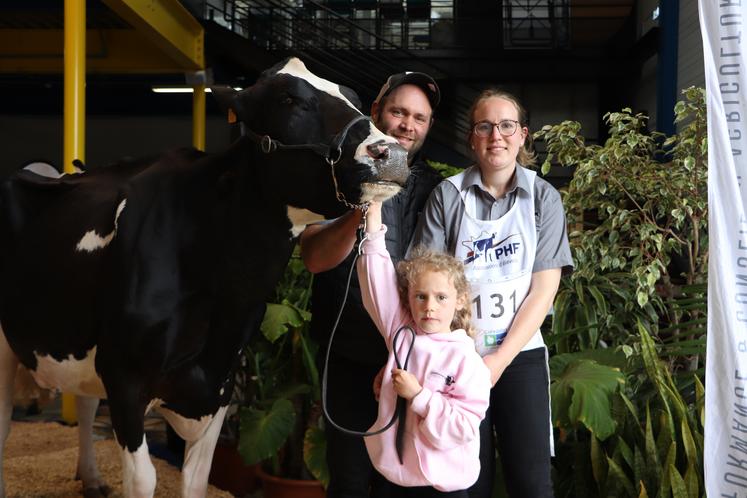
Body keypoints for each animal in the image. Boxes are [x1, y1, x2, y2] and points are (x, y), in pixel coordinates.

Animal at [0, 59, 410, 498]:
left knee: (85, 402)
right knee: (5, 422)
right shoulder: (126, 379)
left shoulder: (217, 389)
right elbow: (142, 479)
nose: (393, 153)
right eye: (288, 99)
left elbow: (196, 479)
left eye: (353, 97)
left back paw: (92, 478)